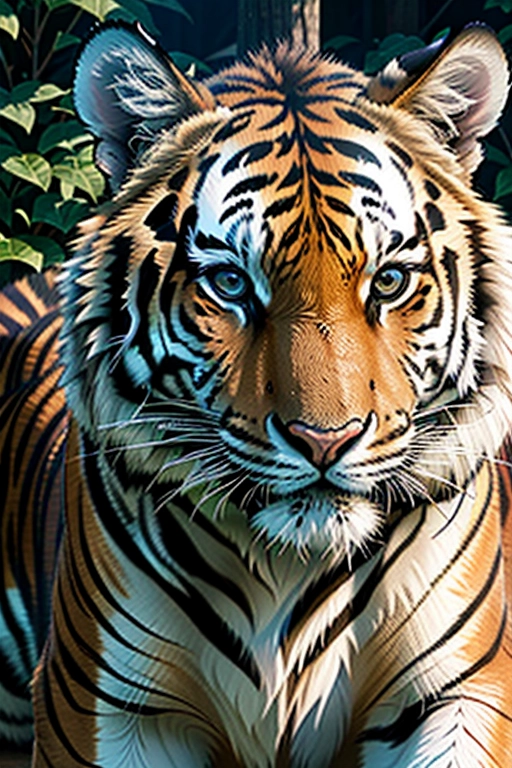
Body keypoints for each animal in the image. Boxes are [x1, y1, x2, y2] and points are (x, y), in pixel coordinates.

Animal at [1, 18, 512, 768]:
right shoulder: (112, 710)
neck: (288, 567)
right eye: (231, 284)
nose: (325, 441)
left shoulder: (458, 695)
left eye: (388, 282)